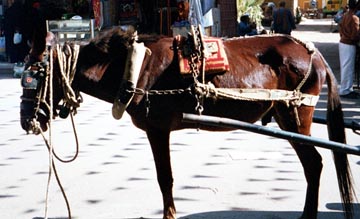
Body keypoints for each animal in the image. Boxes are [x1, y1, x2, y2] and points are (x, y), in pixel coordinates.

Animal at [21, 27, 356, 219]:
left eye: (35, 76)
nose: (26, 121)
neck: (132, 66)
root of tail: (312, 53)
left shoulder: (157, 130)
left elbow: (164, 179)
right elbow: (165, 179)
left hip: (295, 117)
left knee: (314, 165)